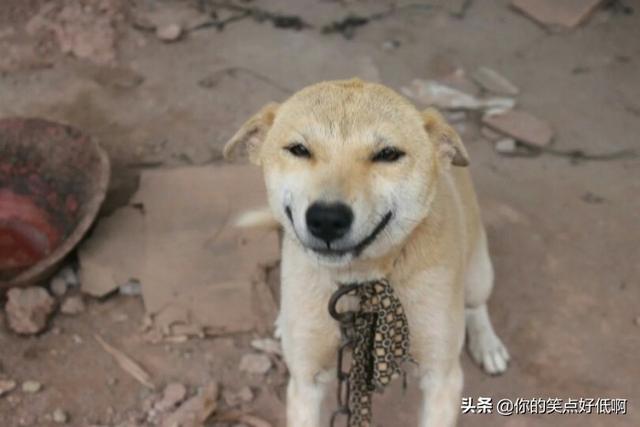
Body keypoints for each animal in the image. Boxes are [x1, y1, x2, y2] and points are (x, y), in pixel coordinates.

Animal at [225, 78, 510, 426]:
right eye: (299, 149)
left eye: (387, 154)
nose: (327, 219)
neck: (358, 281)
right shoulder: (305, 381)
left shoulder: (442, 380)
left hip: (479, 273)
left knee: (476, 304)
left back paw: (488, 344)